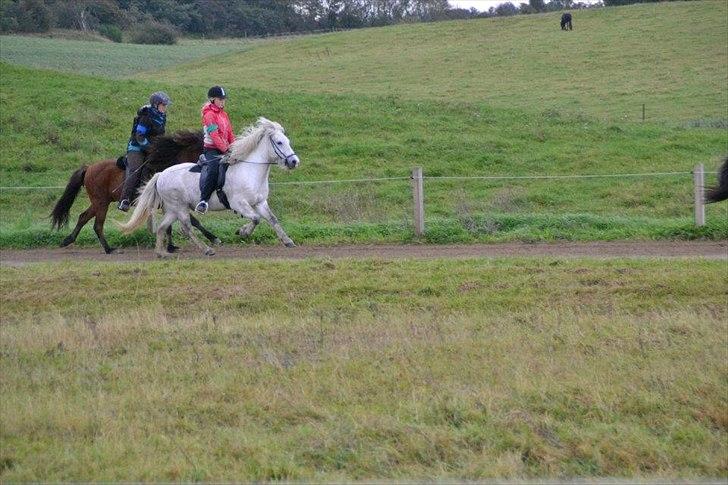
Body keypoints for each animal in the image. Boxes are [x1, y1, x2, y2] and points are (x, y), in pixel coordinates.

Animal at [51, 130, 216, 255]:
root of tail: (89, 167)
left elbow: (171, 225)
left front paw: (170, 246)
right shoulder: (172, 203)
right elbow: (193, 221)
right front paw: (212, 238)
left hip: (99, 202)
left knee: (83, 217)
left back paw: (68, 240)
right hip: (101, 203)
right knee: (97, 225)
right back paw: (108, 249)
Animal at [119, 116, 298, 255]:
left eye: (287, 141)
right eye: (279, 143)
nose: (294, 161)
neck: (250, 171)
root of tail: (161, 174)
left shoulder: (260, 203)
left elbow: (272, 219)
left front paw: (287, 240)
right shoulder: (239, 204)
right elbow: (256, 219)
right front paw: (242, 232)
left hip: (172, 209)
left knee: (164, 227)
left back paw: (161, 252)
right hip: (179, 207)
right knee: (186, 228)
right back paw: (206, 249)